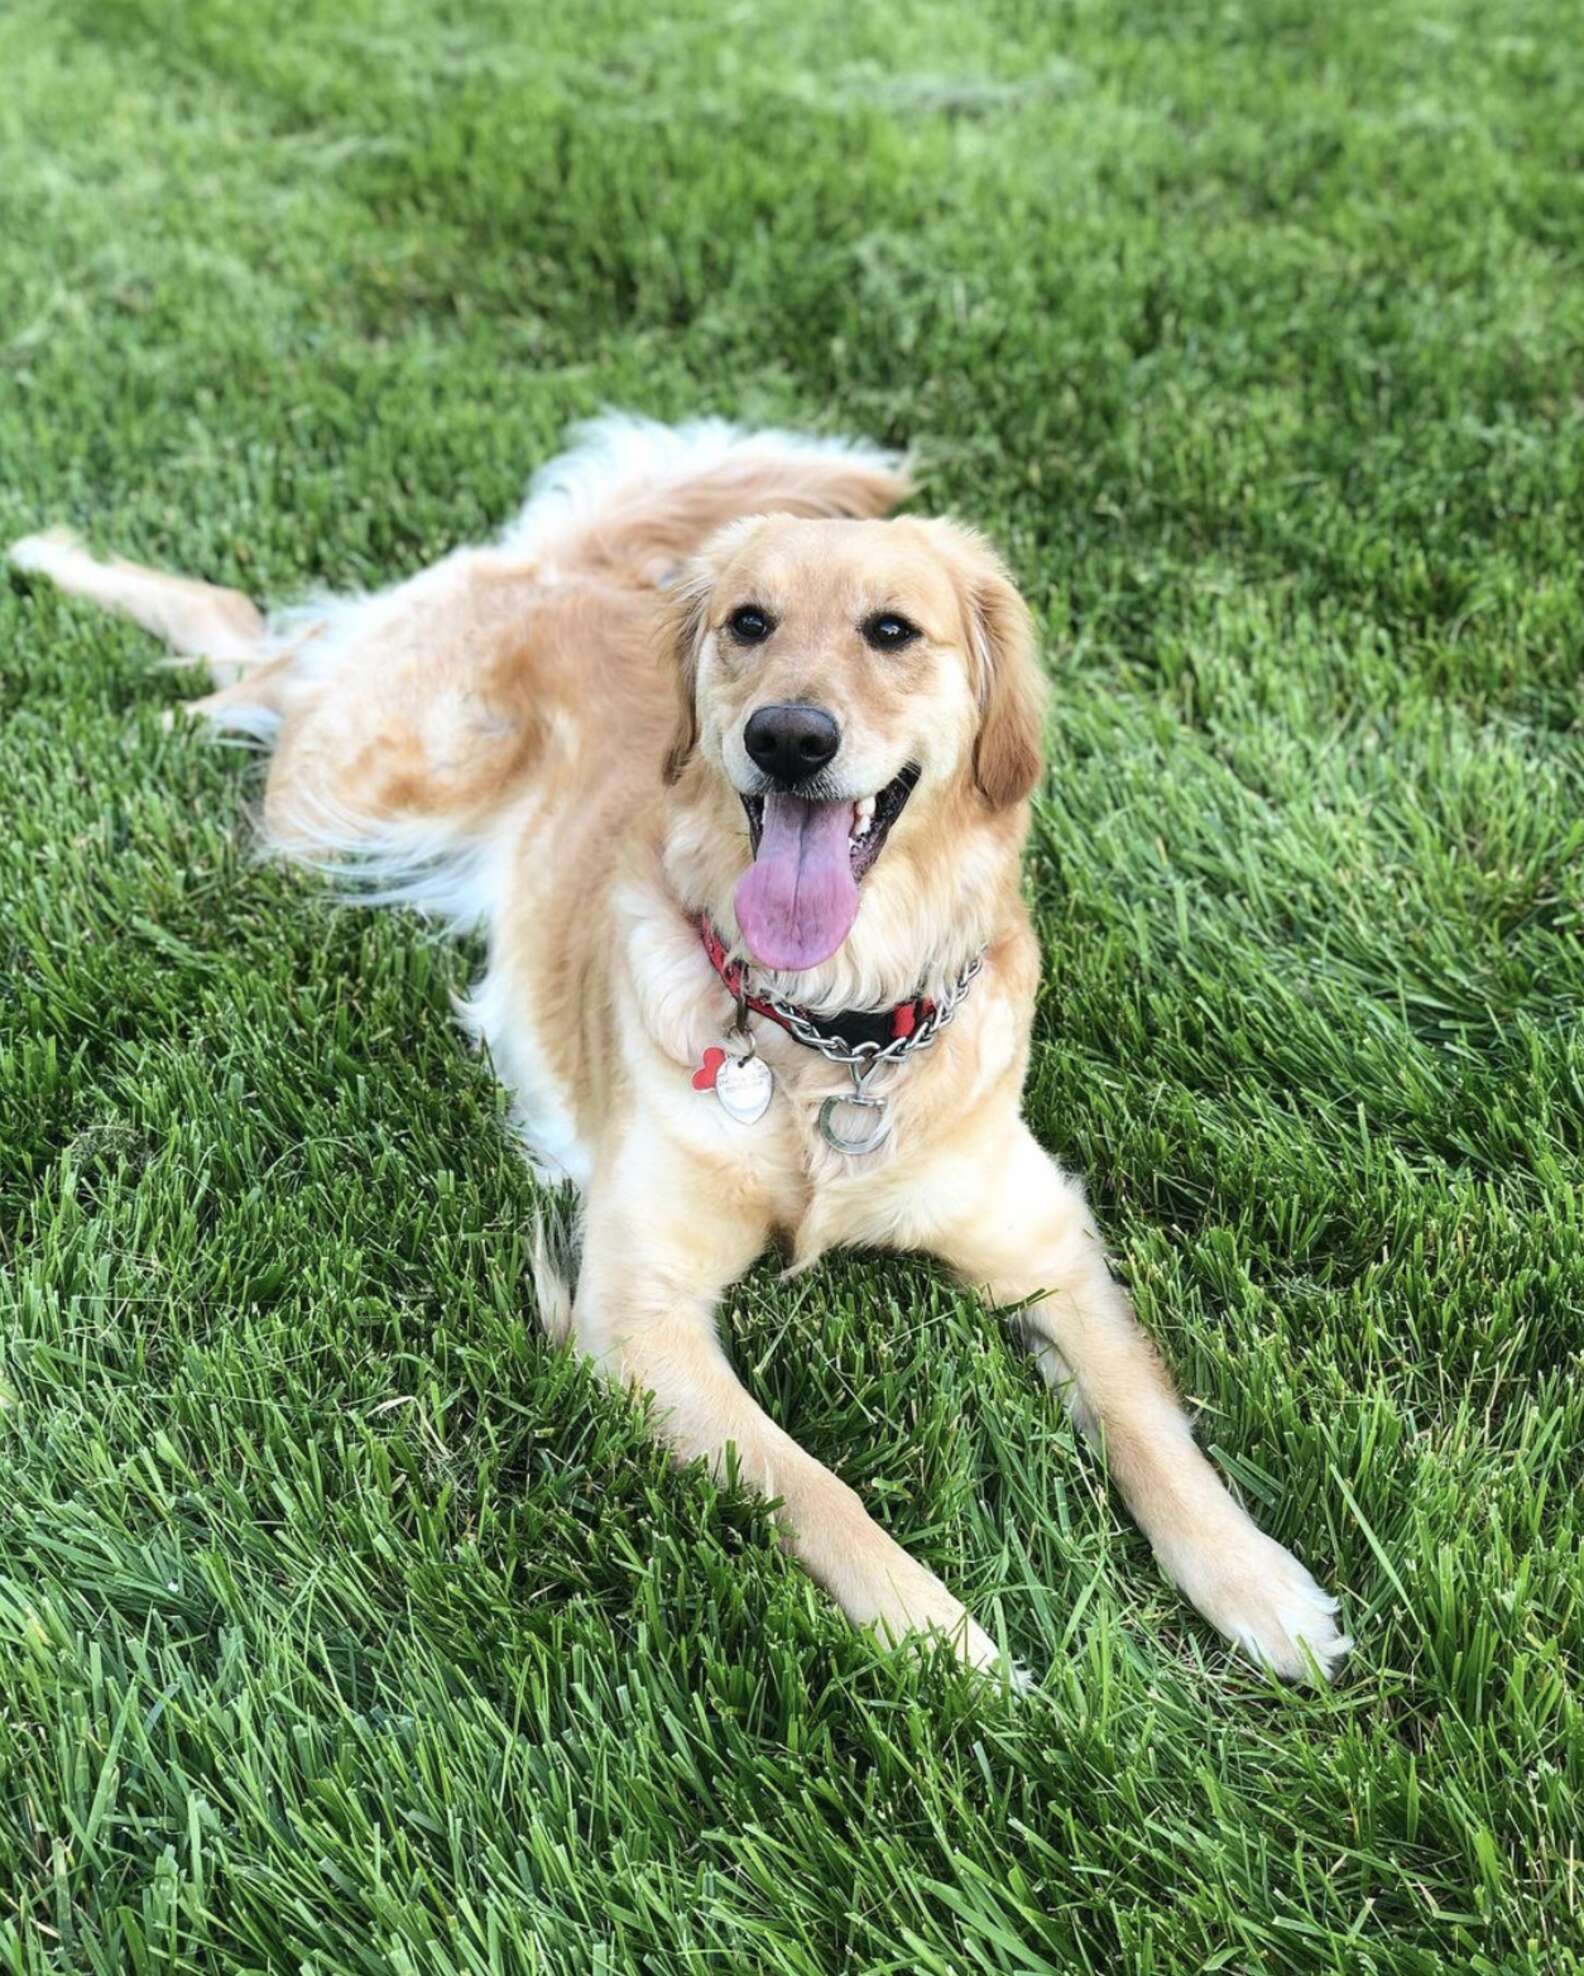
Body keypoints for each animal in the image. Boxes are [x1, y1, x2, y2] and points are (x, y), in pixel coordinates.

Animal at [9, 416, 1343, 1683]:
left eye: (894, 631)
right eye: (750, 621)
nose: (790, 737)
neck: (828, 1032)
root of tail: (556, 570)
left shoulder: (1043, 1235)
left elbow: (1147, 1417)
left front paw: (1260, 1585)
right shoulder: (638, 1308)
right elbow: (817, 1486)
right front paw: (949, 1648)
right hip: (338, 800)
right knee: (257, 642)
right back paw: (77, 595)